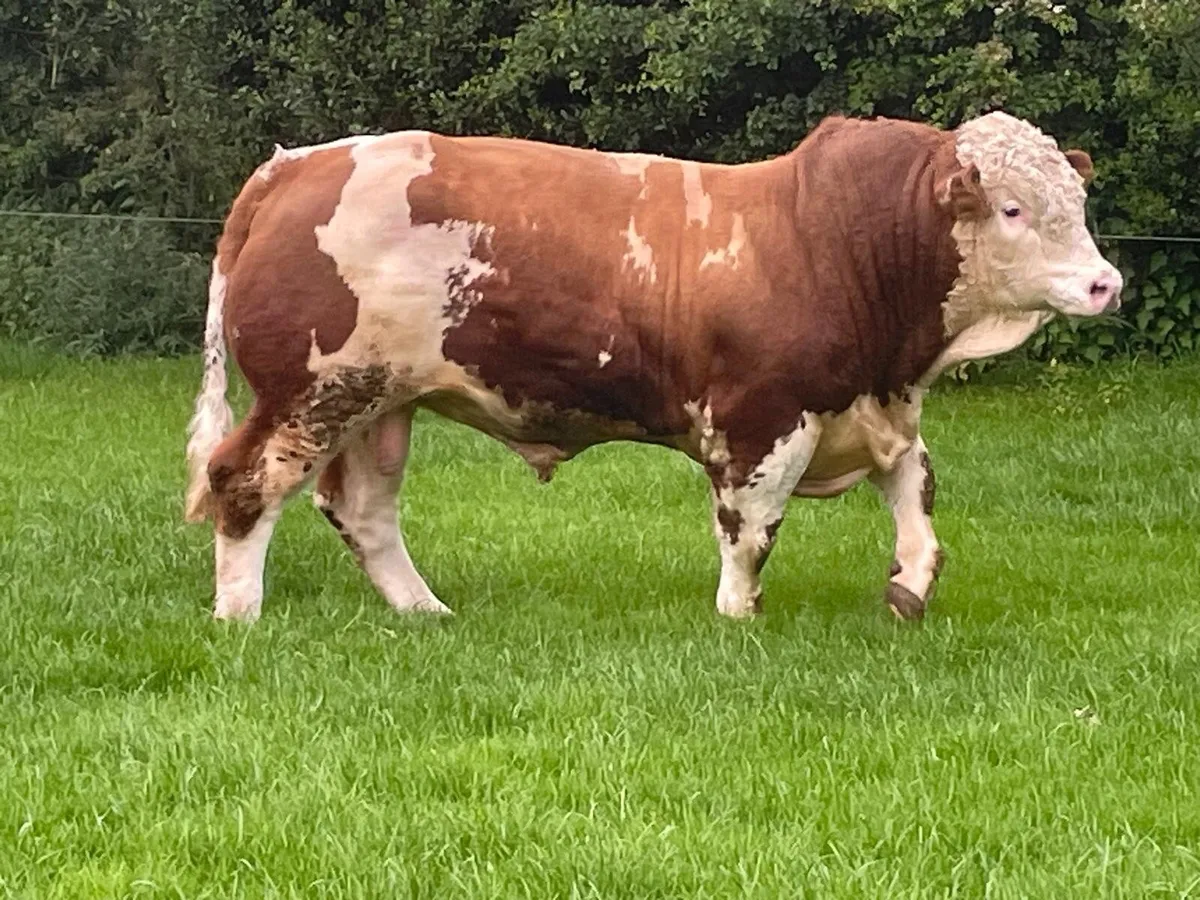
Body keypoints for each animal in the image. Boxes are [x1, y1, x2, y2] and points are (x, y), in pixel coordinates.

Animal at [184, 111, 1121, 623]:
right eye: (1012, 209)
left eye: (1076, 202)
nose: (1104, 282)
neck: (832, 241)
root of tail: (300, 161)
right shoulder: (762, 419)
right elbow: (751, 529)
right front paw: (738, 617)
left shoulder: (875, 407)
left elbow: (919, 505)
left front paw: (910, 589)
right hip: (311, 390)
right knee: (245, 480)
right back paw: (240, 615)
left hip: (381, 399)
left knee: (363, 510)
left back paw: (425, 612)